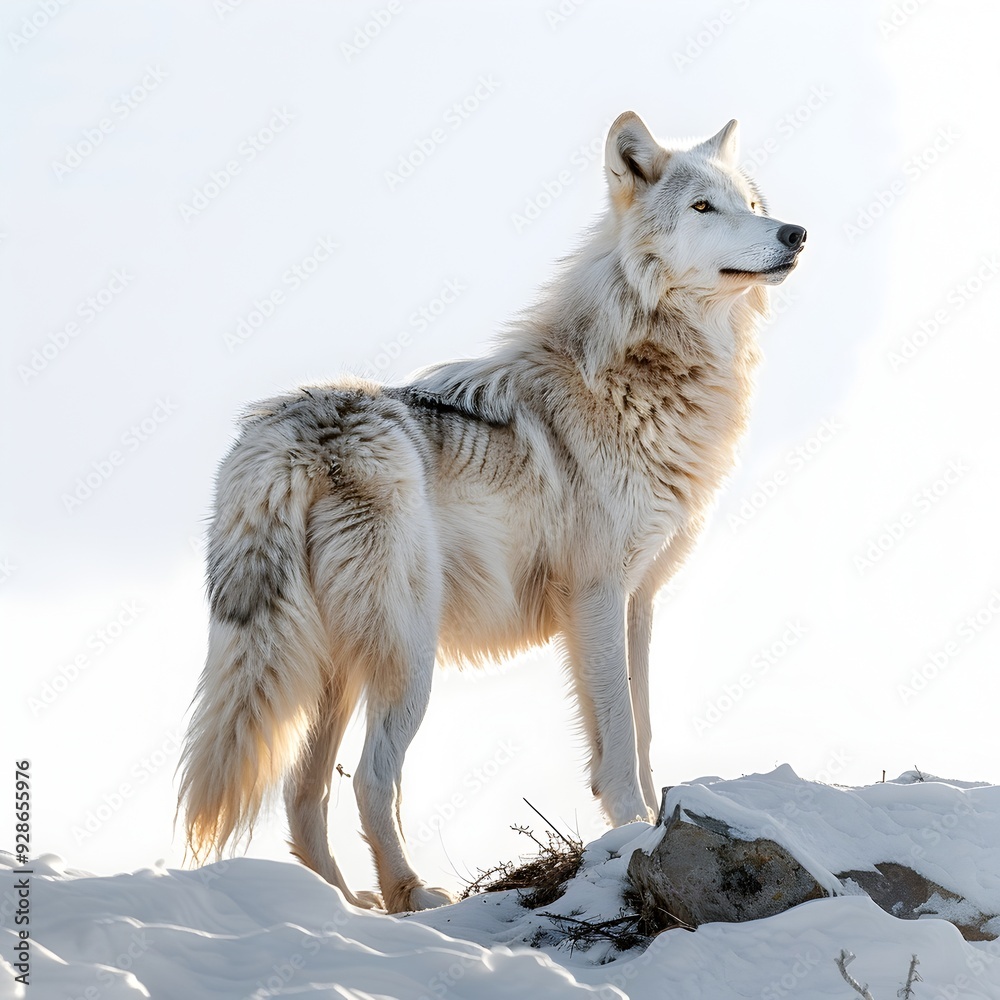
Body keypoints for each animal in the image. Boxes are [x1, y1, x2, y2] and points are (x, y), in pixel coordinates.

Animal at [177, 111, 806, 913]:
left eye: (751, 203)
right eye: (704, 208)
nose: (796, 233)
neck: (639, 373)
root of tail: (299, 427)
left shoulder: (637, 601)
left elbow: (641, 732)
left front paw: (650, 817)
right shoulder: (596, 594)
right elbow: (619, 735)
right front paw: (634, 827)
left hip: (332, 669)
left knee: (302, 795)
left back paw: (344, 907)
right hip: (407, 655)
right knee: (372, 781)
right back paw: (414, 895)